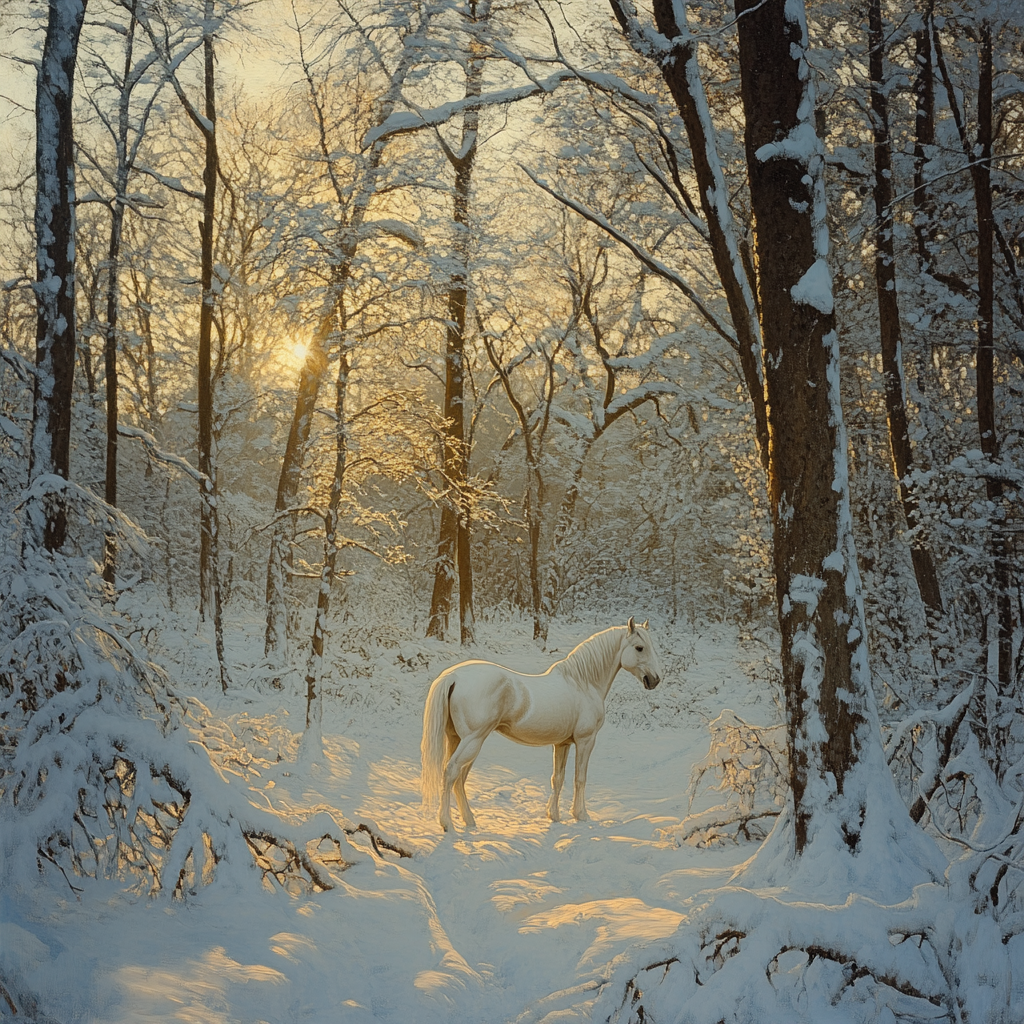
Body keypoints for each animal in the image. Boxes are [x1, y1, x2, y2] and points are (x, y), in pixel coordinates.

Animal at [417, 614, 663, 831]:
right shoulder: (585, 741)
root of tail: (454, 676)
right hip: (472, 741)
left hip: (457, 739)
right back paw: (447, 824)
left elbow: (558, 778)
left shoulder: (562, 744)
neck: (582, 683)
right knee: (451, 772)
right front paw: (581, 815)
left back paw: (469, 821)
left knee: (459, 779)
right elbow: (580, 778)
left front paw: (554, 816)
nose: (654, 680)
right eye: (639, 648)